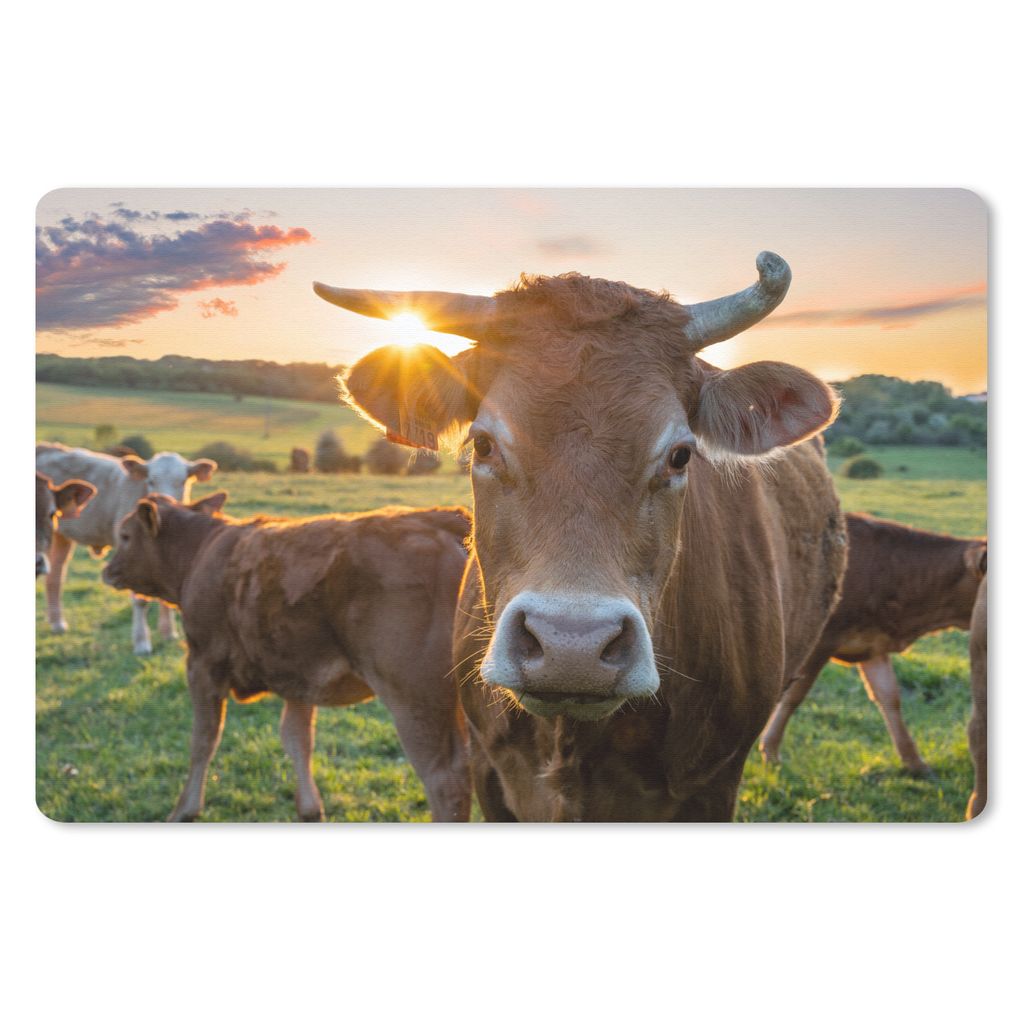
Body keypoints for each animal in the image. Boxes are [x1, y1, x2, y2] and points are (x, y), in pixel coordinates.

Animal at [35, 443, 216, 654]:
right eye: (151, 481)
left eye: (183, 481)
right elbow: (140, 600)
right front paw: (142, 643)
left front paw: (169, 633)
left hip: (61, 536)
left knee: (55, 576)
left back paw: (57, 623)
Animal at [102, 494, 472, 822]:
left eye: (125, 535)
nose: (107, 568)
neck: (201, 551)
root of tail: (438, 518)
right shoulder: (299, 675)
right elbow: (297, 739)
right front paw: (309, 809)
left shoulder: (202, 664)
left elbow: (203, 739)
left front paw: (184, 810)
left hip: (415, 700)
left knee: (447, 781)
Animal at [758, 513, 987, 775]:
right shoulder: (821, 642)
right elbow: (793, 696)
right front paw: (770, 751)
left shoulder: (872, 645)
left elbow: (890, 697)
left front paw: (914, 762)